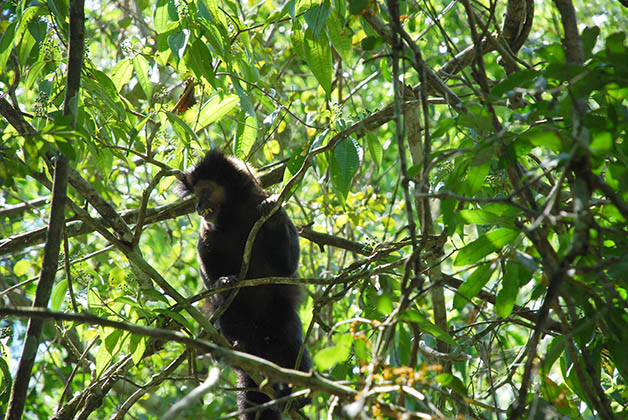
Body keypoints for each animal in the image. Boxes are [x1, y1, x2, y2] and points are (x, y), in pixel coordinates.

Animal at [178, 149, 310, 418]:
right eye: (196, 195)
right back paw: (240, 347)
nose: (197, 206)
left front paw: (273, 217)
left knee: (289, 337)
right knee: (231, 317)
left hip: (277, 317)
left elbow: (288, 266)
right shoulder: (207, 232)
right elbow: (210, 282)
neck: (234, 216)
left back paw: (296, 393)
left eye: (205, 191)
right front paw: (223, 282)